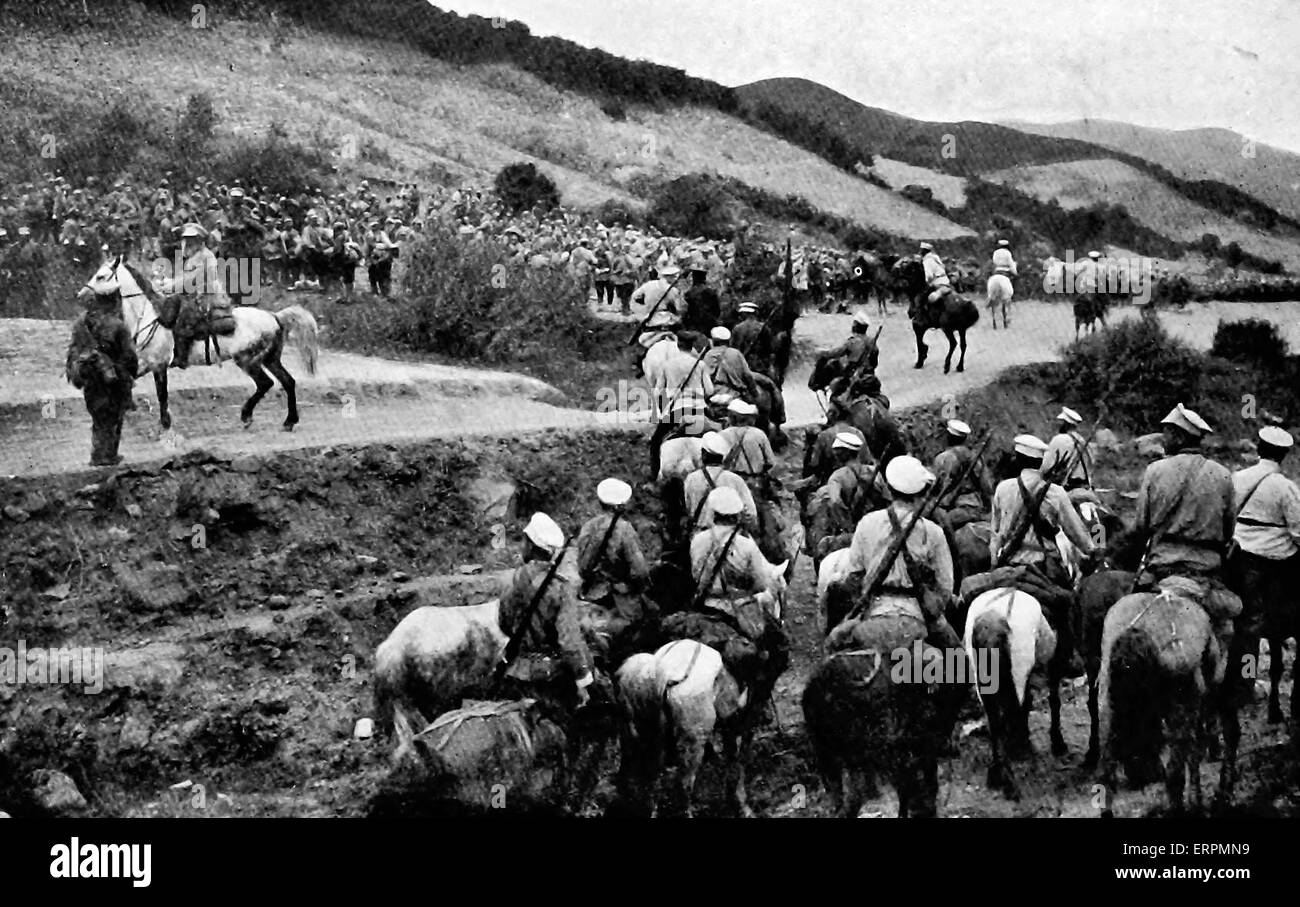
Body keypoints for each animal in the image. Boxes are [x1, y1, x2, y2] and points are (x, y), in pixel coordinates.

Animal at [79, 249, 318, 428]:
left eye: (101, 276)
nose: (81, 295)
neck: (149, 316)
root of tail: (274, 316)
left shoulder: (157, 365)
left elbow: (161, 393)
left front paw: (165, 423)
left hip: (248, 361)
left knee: (266, 383)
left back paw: (247, 415)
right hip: (270, 359)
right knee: (288, 381)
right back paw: (289, 420)